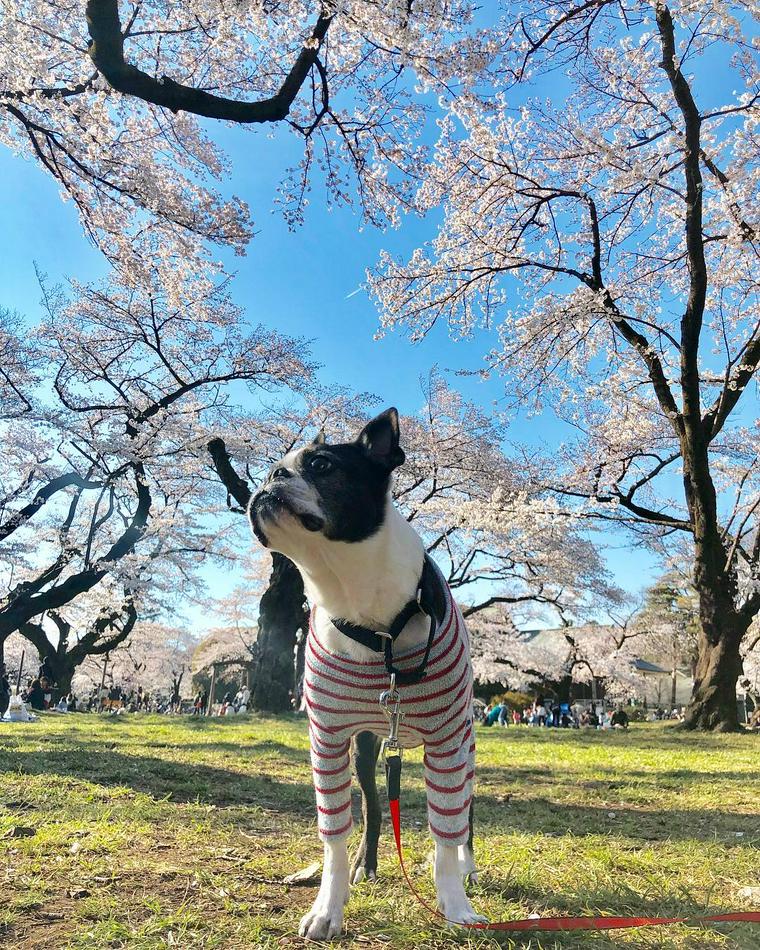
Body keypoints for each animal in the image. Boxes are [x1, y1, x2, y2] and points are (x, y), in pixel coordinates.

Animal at [249, 410, 486, 944]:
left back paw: (467, 866)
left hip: (465, 746)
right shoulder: (329, 740)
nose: (270, 480)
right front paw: (328, 907)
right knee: (377, 807)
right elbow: (335, 834)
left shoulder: (447, 744)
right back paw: (367, 863)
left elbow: (445, 833)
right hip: (366, 750)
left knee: (462, 817)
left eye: (321, 465)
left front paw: (455, 905)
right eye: (274, 468)